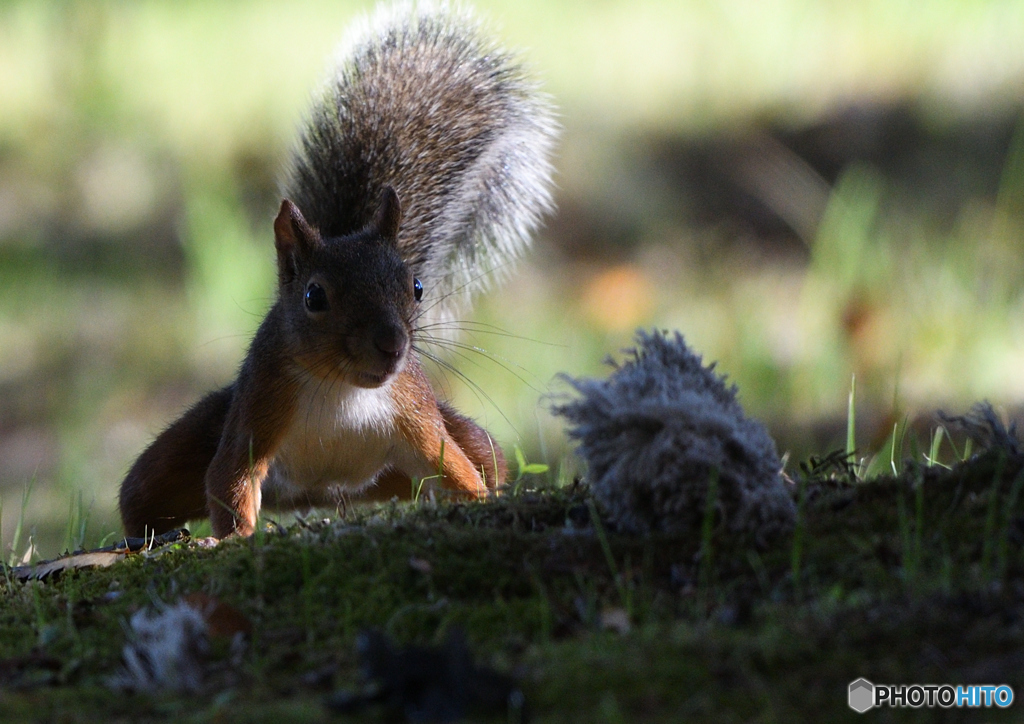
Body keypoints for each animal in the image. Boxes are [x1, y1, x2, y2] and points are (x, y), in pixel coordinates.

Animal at [117, 2, 561, 536]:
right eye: (314, 297)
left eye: (416, 287)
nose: (391, 344)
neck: (343, 391)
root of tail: (326, 493)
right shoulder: (259, 407)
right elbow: (230, 481)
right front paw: (230, 540)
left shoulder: (415, 411)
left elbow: (454, 466)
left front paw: (477, 502)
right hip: (186, 448)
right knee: (143, 493)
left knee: (484, 457)